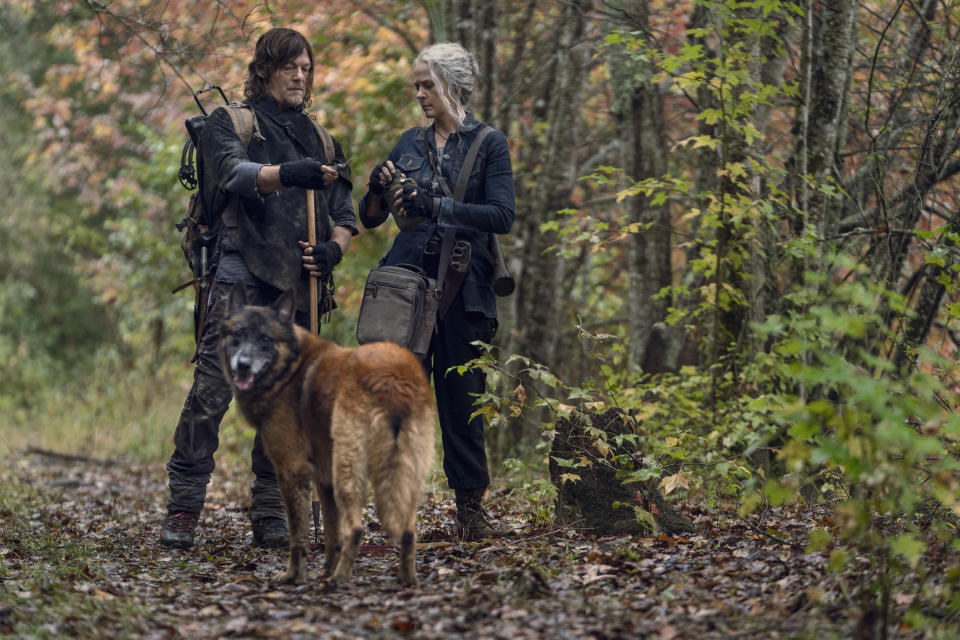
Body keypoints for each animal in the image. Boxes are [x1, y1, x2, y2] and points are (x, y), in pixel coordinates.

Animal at [219, 286, 434, 592]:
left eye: (265, 339)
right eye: (238, 334)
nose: (243, 366)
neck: (290, 367)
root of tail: (392, 377)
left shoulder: (292, 472)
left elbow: (299, 535)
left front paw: (294, 576)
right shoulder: (324, 478)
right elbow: (332, 533)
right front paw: (326, 566)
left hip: (348, 470)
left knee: (356, 528)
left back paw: (338, 579)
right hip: (408, 475)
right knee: (408, 530)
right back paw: (405, 579)